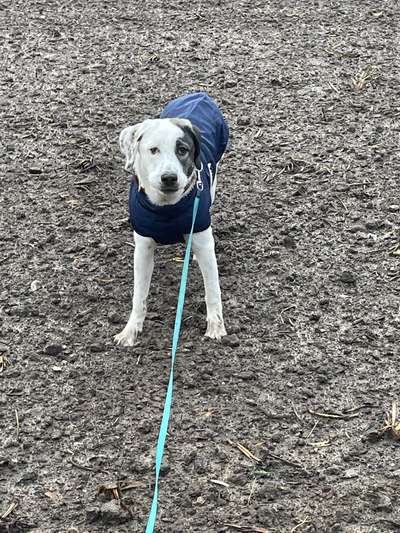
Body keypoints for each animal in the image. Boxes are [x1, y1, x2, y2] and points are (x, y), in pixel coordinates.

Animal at [114, 91, 230, 344]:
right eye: (153, 150)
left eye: (182, 150)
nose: (169, 177)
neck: (166, 209)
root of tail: (199, 95)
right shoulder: (143, 248)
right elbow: (139, 295)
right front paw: (131, 330)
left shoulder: (204, 242)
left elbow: (212, 290)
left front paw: (216, 326)